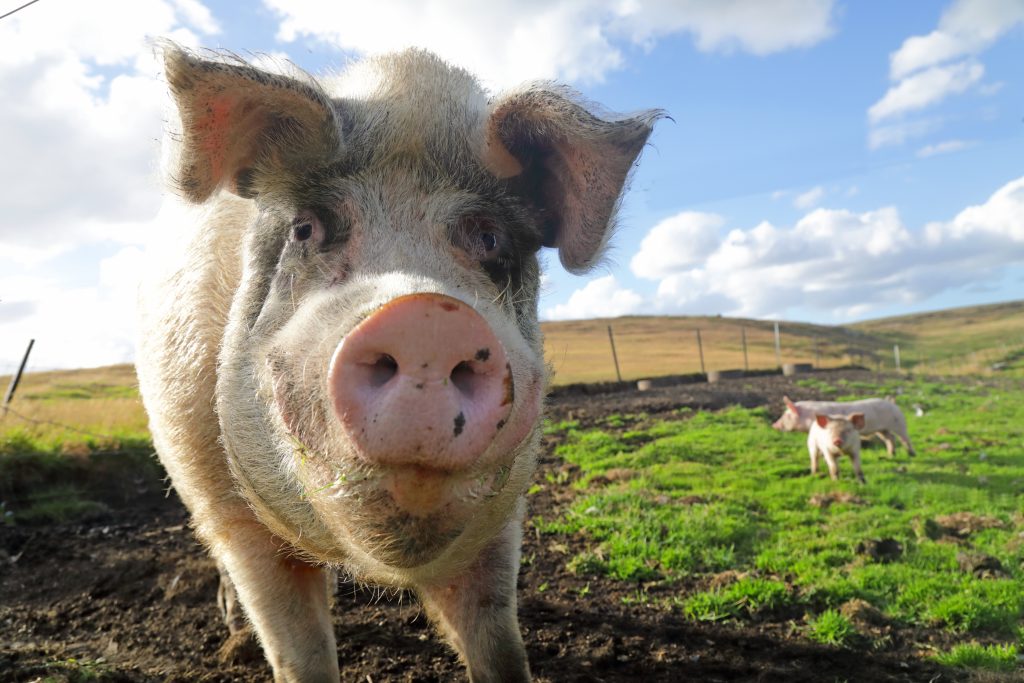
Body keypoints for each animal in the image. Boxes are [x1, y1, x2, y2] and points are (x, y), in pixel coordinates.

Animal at [135, 43, 659, 683]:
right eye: (305, 228)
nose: (426, 316)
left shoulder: (502, 513)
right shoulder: (225, 504)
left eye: (490, 239)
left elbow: (497, 642)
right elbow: (299, 653)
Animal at [773, 395, 916, 457]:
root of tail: (892, 402)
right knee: (890, 438)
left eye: (786, 414)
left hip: (899, 423)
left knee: (905, 438)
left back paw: (911, 454)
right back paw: (891, 455)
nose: (774, 425)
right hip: (881, 429)